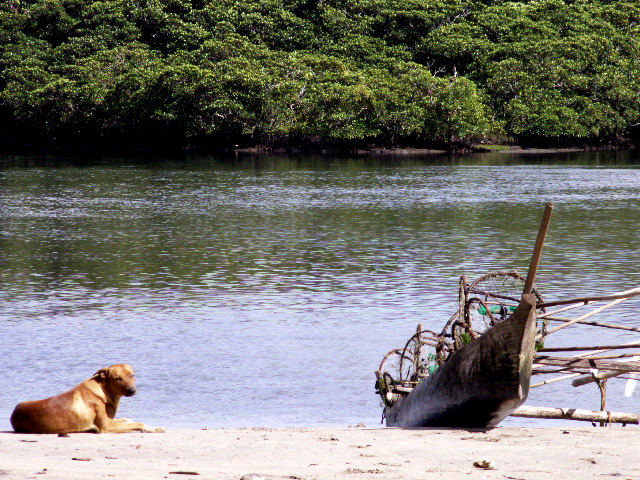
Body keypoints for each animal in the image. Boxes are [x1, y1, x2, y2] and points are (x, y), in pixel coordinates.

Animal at [10, 364, 163, 434]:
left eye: (131, 375)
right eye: (117, 378)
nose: (132, 390)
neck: (105, 391)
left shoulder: (111, 421)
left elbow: (128, 419)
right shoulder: (106, 427)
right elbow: (138, 423)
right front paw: (151, 429)